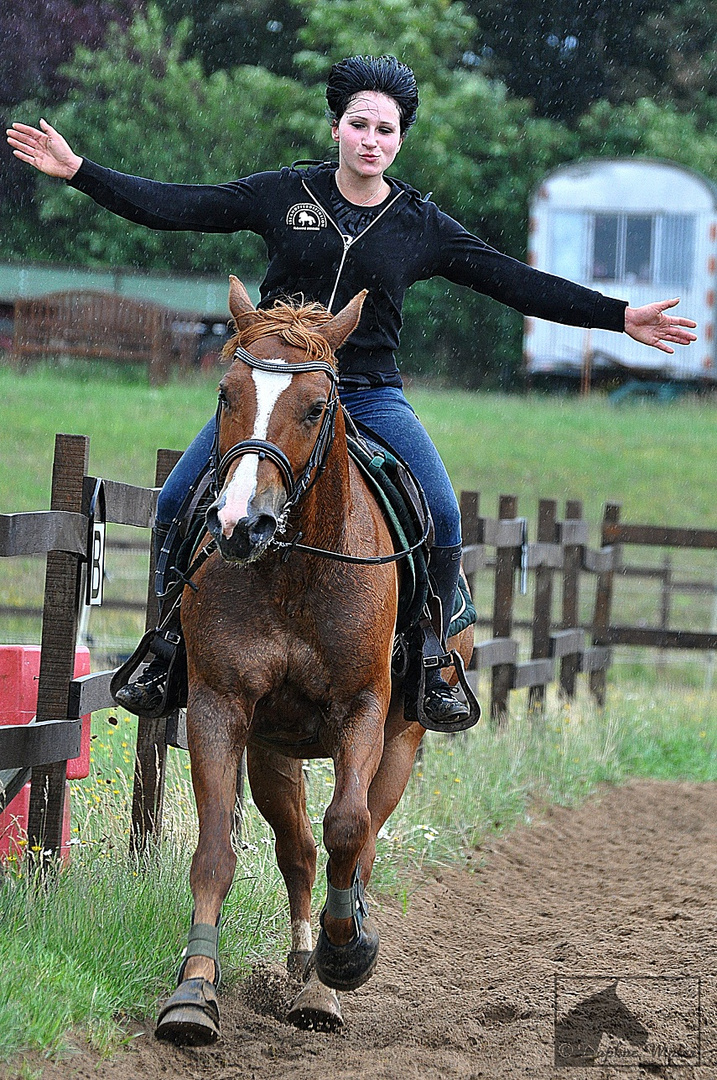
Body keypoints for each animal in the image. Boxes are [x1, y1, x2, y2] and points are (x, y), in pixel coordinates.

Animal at [154, 278, 472, 1045]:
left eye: (315, 406)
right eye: (226, 393)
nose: (241, 522)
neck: (294, 571)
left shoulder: (362, 712)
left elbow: (348, 831)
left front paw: (346, 957)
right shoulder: (220, 708)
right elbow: (217, 853)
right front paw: (194, 992)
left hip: (402, 739)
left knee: (358, 846)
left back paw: (327, 974)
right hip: (274, 748)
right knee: (297, 850)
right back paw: (303, 970)